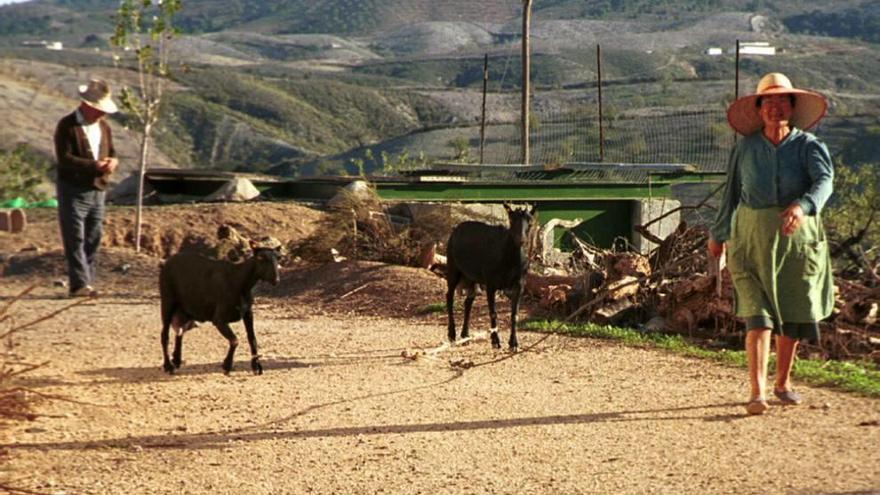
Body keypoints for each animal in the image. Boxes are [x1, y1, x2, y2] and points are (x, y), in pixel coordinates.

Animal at [159, 241, 282, 376]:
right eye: (261, 257)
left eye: (278, 258)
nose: (276, 280)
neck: (239, 282)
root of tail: (166, 262)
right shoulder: (219, 319)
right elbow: (234, 340)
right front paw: (227, 365)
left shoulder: (248, 313)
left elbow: (252, 339)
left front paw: (256, 366)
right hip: (167, 301)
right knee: (165, 335)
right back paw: (168, 366)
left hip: (185, 310)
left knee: (180, 330)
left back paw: (176, 360)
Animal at [446, 203, 536, 350]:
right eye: (511, 219)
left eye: (530, 221)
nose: (520, 240)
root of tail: (455, 230)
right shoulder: (490, 284)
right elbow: (493, 312)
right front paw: (495, 341)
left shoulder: (519, 284)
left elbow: (514, 314)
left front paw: (514, 343)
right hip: (453, 268)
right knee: (449, 297)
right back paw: (452, 334)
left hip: (472, 277)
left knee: (468, 300)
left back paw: (465, 335)